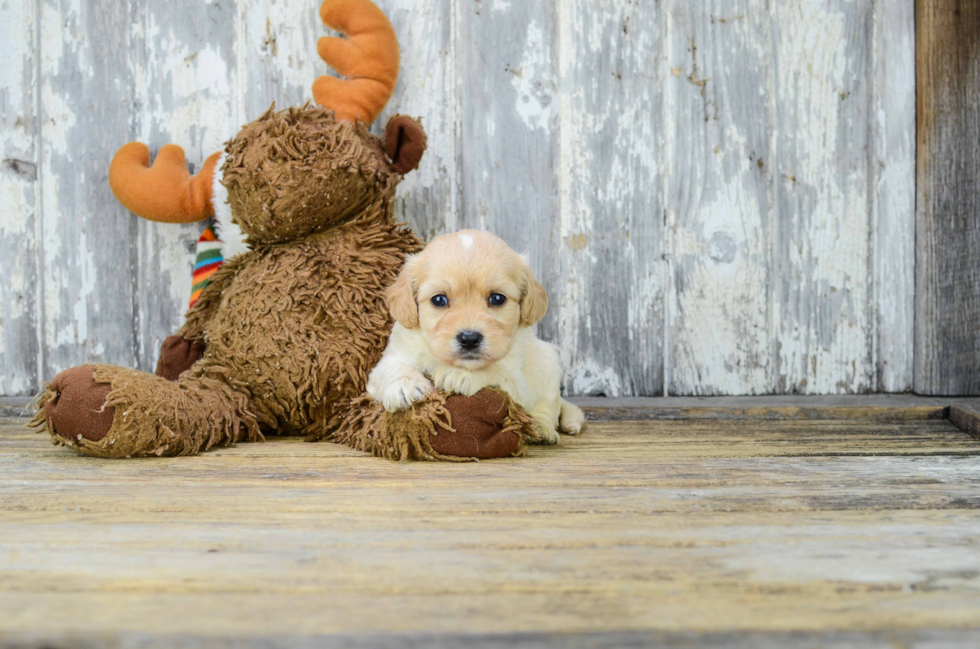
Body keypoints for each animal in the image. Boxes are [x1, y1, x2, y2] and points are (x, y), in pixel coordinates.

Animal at [366, 229, 580, 446]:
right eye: (439, 299)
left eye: (497, 298)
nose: (469, 339)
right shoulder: (390, 357)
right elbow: (393, 367)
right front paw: (405, 385)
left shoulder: (518, 381)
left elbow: (496, 371)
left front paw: (461, 374)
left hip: (549, 362)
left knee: (548, 407)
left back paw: (540, 428)